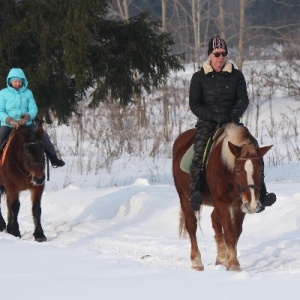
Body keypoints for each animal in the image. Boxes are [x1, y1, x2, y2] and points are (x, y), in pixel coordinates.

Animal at [172, 123, 274, 270]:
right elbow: (230, 233)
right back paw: (196, 262)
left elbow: (235, 232)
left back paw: (221, 258)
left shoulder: (238, 205)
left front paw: (229, 260)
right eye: (238, 171)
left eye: (261, 170)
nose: (253, 205)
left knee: (214, 220)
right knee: (191, 225)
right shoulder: (222, 203)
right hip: (184, 196)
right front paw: (234, 264)